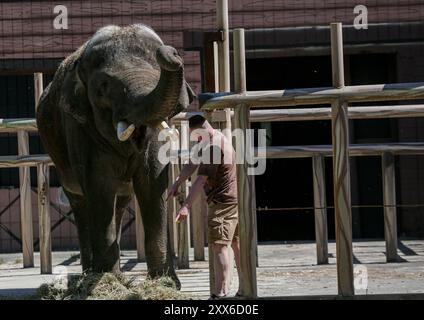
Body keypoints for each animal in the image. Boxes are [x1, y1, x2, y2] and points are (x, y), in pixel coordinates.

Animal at [35, 24, 195, 284]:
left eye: (156, 74)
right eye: (104, 86)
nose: (170, 51)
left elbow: (152, 183)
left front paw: (166, 283)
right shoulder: (80, 127)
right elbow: (100, 185)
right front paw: (104, 283)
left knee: (119, 203)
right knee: (81, 203)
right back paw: (90, 274)